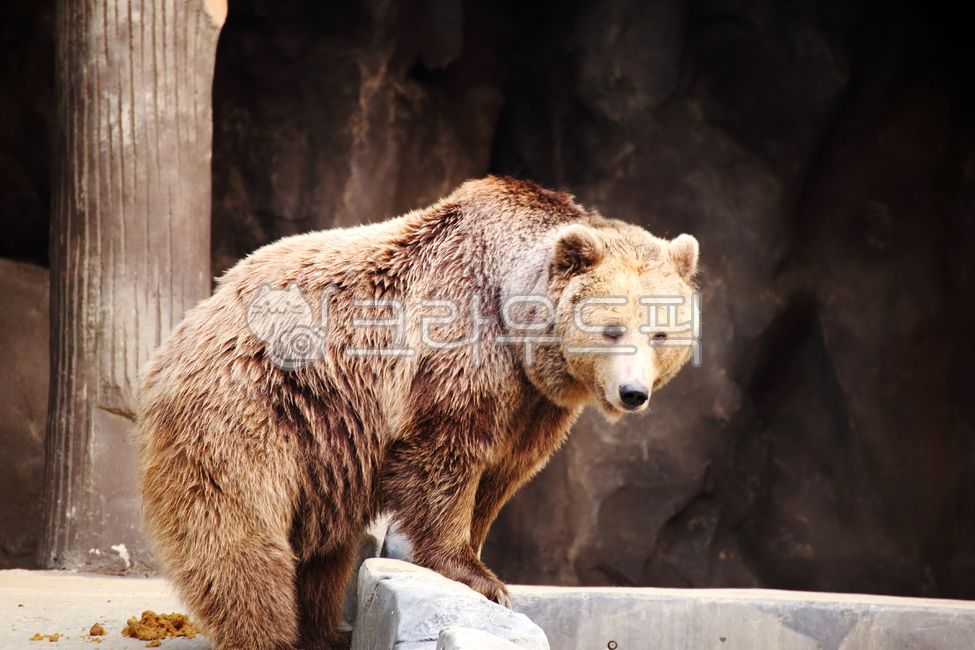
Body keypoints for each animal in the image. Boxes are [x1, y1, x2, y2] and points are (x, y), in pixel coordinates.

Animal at [136, 176, 700, 650]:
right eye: (611, 328)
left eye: (660, 332)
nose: (633, 393)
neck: (518, 325)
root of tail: (188, 322)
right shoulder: (457, 344)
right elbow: (446, 454)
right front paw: (479, 577)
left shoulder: (533, 405)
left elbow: (502, 473)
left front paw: (479, 555)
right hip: (251, 404)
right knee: (238, 533)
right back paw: (269, 632)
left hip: (323, 445)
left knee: (323, 552)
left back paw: (323, 630)